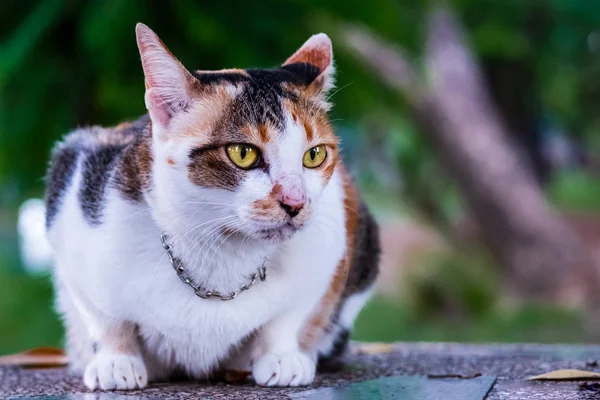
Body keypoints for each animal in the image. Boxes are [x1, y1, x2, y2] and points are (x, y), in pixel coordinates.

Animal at [44, 23, 380, 390]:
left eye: (314, 155)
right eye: (243, 153)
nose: (296, 202)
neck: (221, 252)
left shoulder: (329, 248)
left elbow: (289, 314)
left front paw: (281, 355)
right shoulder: (75, 192)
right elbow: (105, 317)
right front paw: (116, 360)